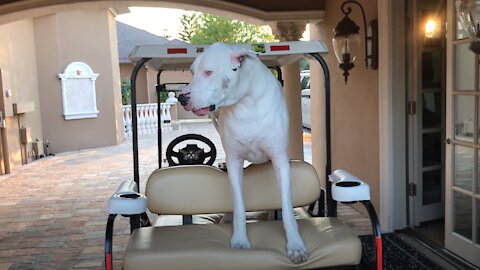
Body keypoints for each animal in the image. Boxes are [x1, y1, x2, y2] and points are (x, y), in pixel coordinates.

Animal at [179, 42, 308, 264]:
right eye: (193, 72)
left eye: (208, 72)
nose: (181, 97)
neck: (247, 103)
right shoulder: (234, 161)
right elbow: (238, 203)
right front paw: (239, 239)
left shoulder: (280, 161)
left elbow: (287, 206)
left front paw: (295, 245)